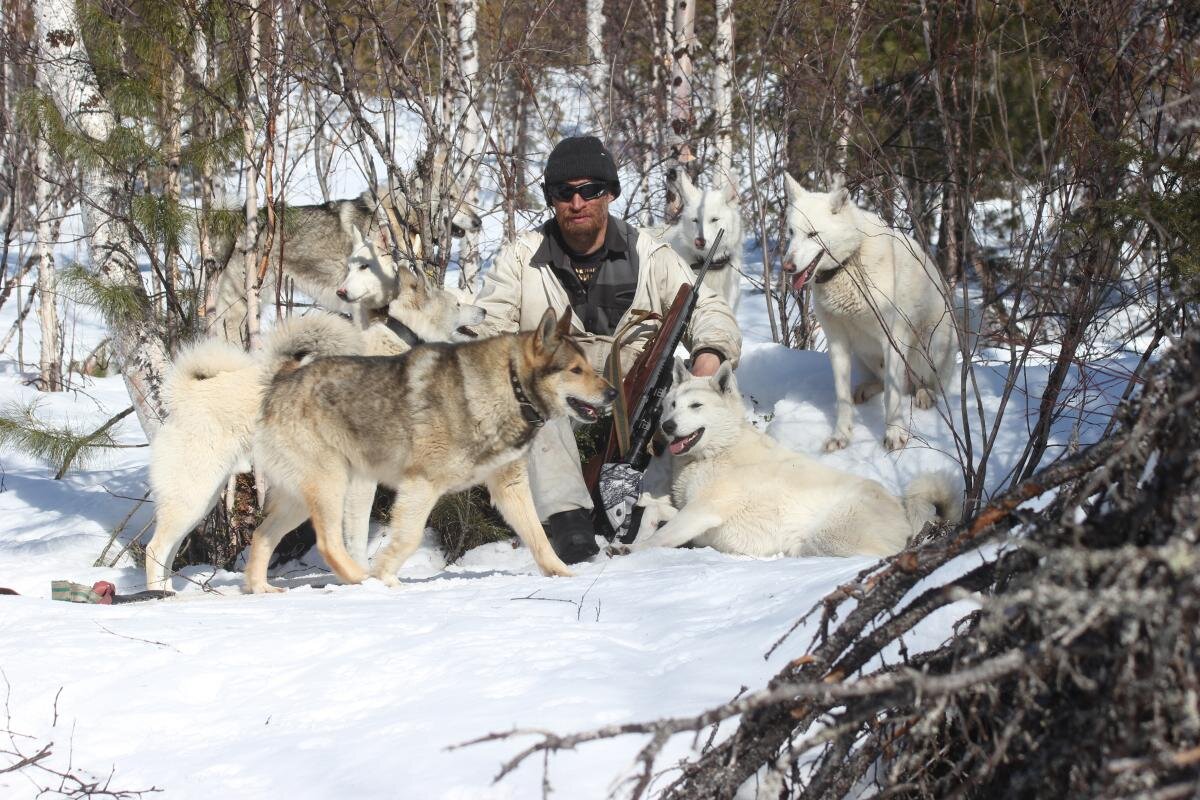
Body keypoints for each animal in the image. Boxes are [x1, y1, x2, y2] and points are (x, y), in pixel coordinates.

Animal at [246, 309, 619, 594]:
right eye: (575, 370)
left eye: (588, 366)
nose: (613, 393)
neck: (509, 385)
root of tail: (280, 381)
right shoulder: (421, 484)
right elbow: (408, 538)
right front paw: (384, 576)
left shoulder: (510, 486)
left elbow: (538, 536)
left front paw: (563, 575)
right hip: (331, 484)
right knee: (327, 543)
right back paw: (361, 579)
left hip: (300, 498)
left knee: (261, 535)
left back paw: (260, 587)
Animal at [633, 359, 960, 561]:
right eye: (672, 405)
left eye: (696, 406)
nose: (667, 426)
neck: (718, 451)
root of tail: (903, 507)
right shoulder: (690, 513)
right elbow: (652, 511)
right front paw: (635, 536)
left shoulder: (702, 513)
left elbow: (657, 539)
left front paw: (627, 552)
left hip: (828, 538)